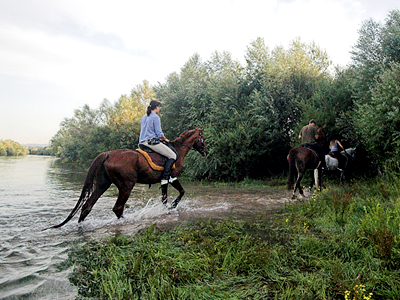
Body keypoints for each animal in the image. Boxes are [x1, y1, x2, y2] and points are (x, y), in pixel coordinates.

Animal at [46, 127, 208, 229]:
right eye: (203, 139)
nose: (206, 152)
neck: (178, 150)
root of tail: (108, 154)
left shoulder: (165, 180)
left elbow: (164, 197)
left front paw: (165, 208)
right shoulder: (172, 177)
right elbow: (181, 192)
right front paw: (172, 206)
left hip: (102, 185)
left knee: (87, 206)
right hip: (126, 186)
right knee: (117, 208)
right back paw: (128, 221)